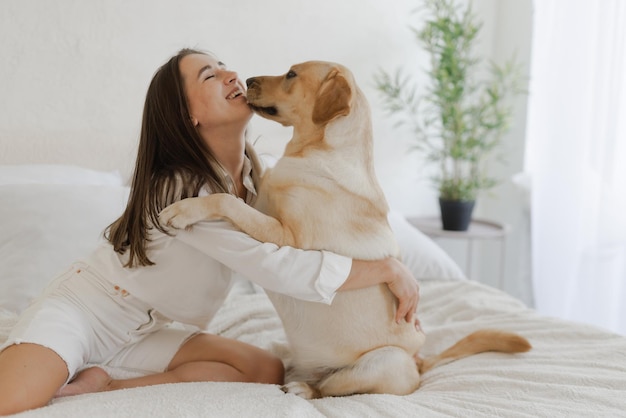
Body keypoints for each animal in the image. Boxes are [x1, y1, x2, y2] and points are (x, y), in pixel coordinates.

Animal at [158, 60, 528, 396]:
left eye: (291, 74)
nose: (246, 79)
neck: (318, 151)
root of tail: (420, 362)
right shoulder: (265, 198)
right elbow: (256, 174)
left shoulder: (288, 238)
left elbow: (227, 200)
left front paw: (181, 210)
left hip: (381, 363)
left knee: (327, 387)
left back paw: (302, 388)